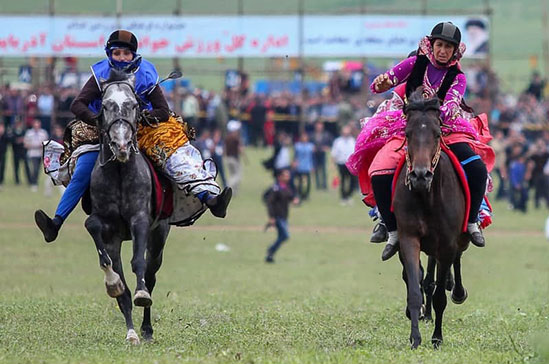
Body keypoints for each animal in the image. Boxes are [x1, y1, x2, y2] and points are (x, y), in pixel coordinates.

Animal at [85, 69, 169, 346]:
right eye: (105, 105)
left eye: (133, 105)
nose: (121, 145)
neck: (121, 171)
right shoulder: (109, 230)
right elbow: (98, 238)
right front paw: (113, 284)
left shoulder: (140, 219)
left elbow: (138, 264)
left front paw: (141, 294)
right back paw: (133, 331)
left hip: (159, 235)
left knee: (151, 274)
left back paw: (147, 328)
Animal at [392, 88, 468, 350]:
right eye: (407, 133)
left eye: (437, 133)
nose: (420, 175)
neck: (427, 197)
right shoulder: (408, 237)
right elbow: (414, 288)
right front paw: (415, 338)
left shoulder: (446, 243)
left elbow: (439, 297)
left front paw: (437, 338)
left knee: (457, 258)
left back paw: (457, 290)